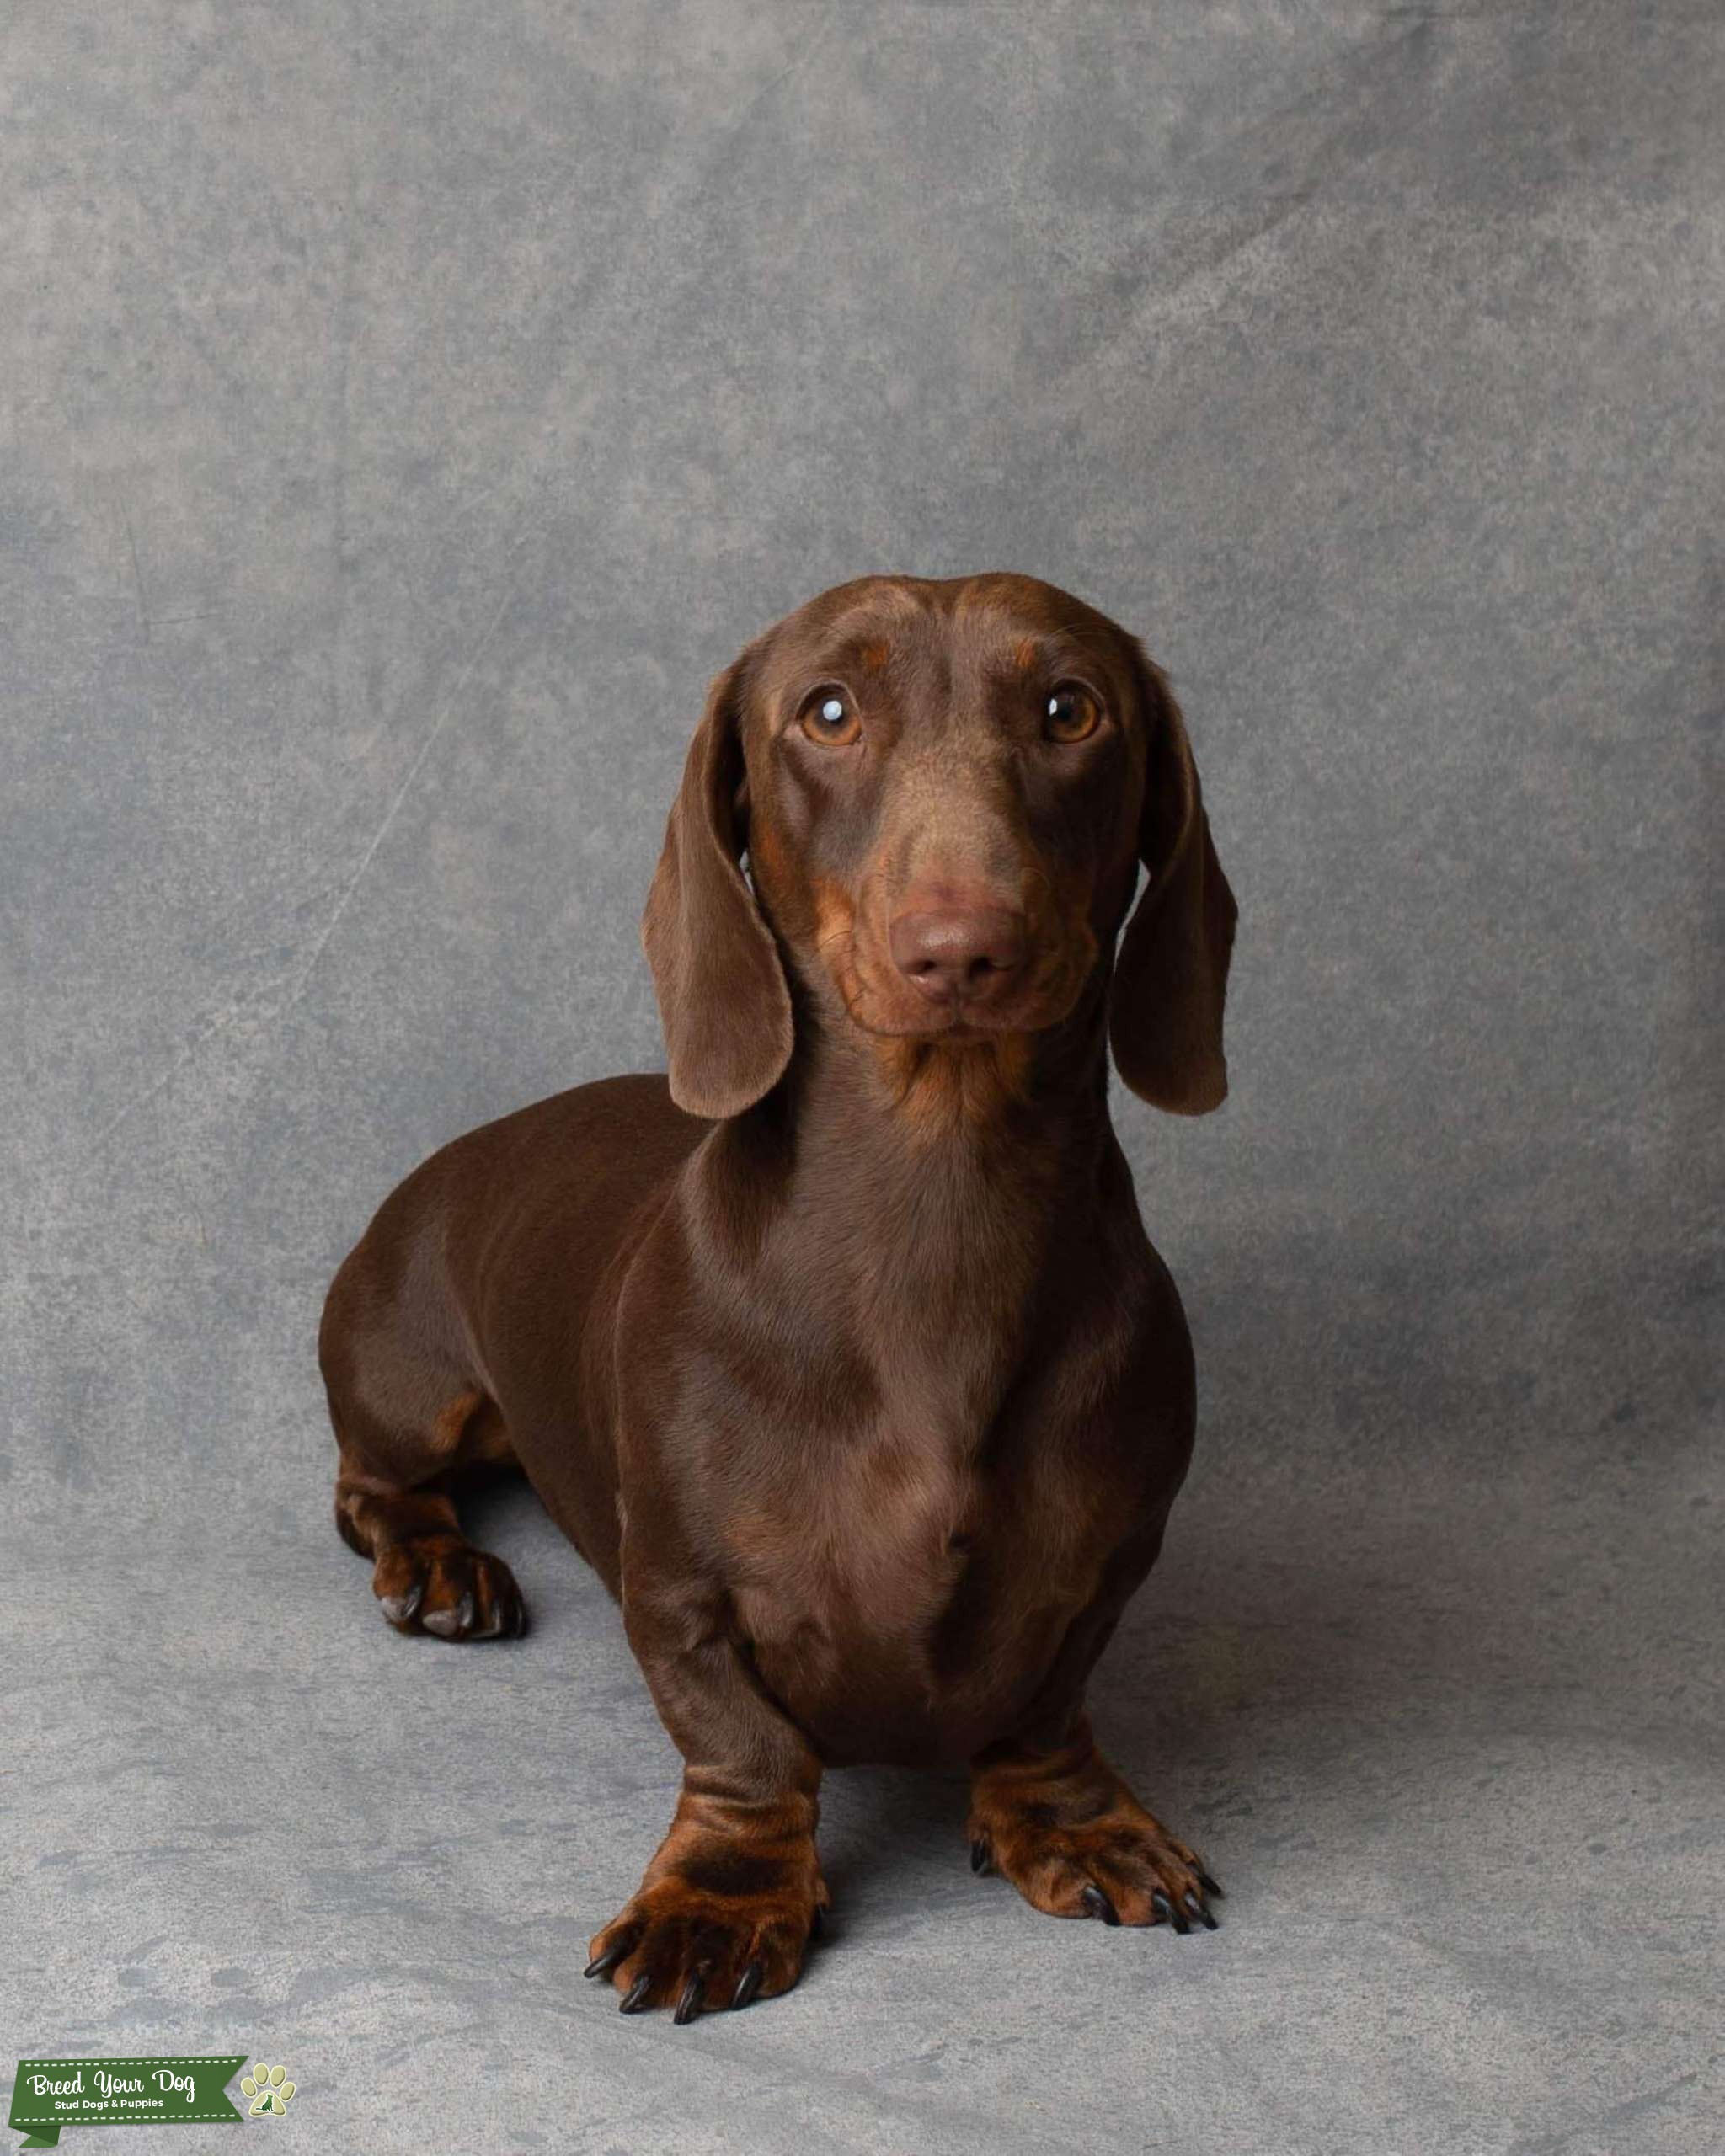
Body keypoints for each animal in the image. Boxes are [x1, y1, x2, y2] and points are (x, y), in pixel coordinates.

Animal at [318, 568, 1242, 2018]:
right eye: (827, 711)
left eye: (1069, 708)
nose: (961, 950)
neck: (936, 1206)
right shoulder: (680, 1591)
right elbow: (745, 1748)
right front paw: (720, 1897)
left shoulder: (1108, 1567)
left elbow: (1046, 1709)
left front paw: (1073, 1820)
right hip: (406, 1385)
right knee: (369, 1485)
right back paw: (441, 1567)